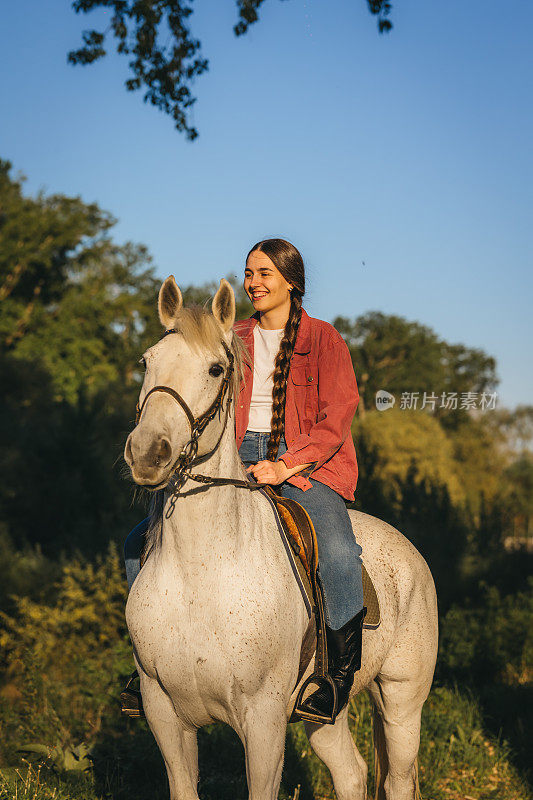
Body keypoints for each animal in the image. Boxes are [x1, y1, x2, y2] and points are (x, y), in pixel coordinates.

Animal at [123, 276, 436, 800]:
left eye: (215, 368)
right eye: (147, 362)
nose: (148, 453)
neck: (200, 573)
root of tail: (409, 553)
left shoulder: (264, 721)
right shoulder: (164, 715)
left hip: (401, 701)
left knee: (396, 778)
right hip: (324, 716)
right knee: (351, 773)